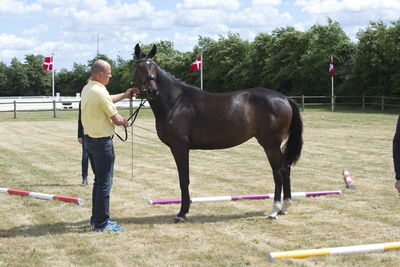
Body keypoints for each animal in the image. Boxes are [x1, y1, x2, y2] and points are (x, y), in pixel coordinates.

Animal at [134, 44, 304, 224]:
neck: (176, 102)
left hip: (270, 144)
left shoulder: (180, 148)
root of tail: (284, 99)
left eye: (154, 67)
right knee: (286, 168)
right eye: (139, 67)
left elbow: (184, 179)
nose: (152, 90)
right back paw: (284, 207)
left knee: (278, 171)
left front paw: (182, 213)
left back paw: (274, 210)